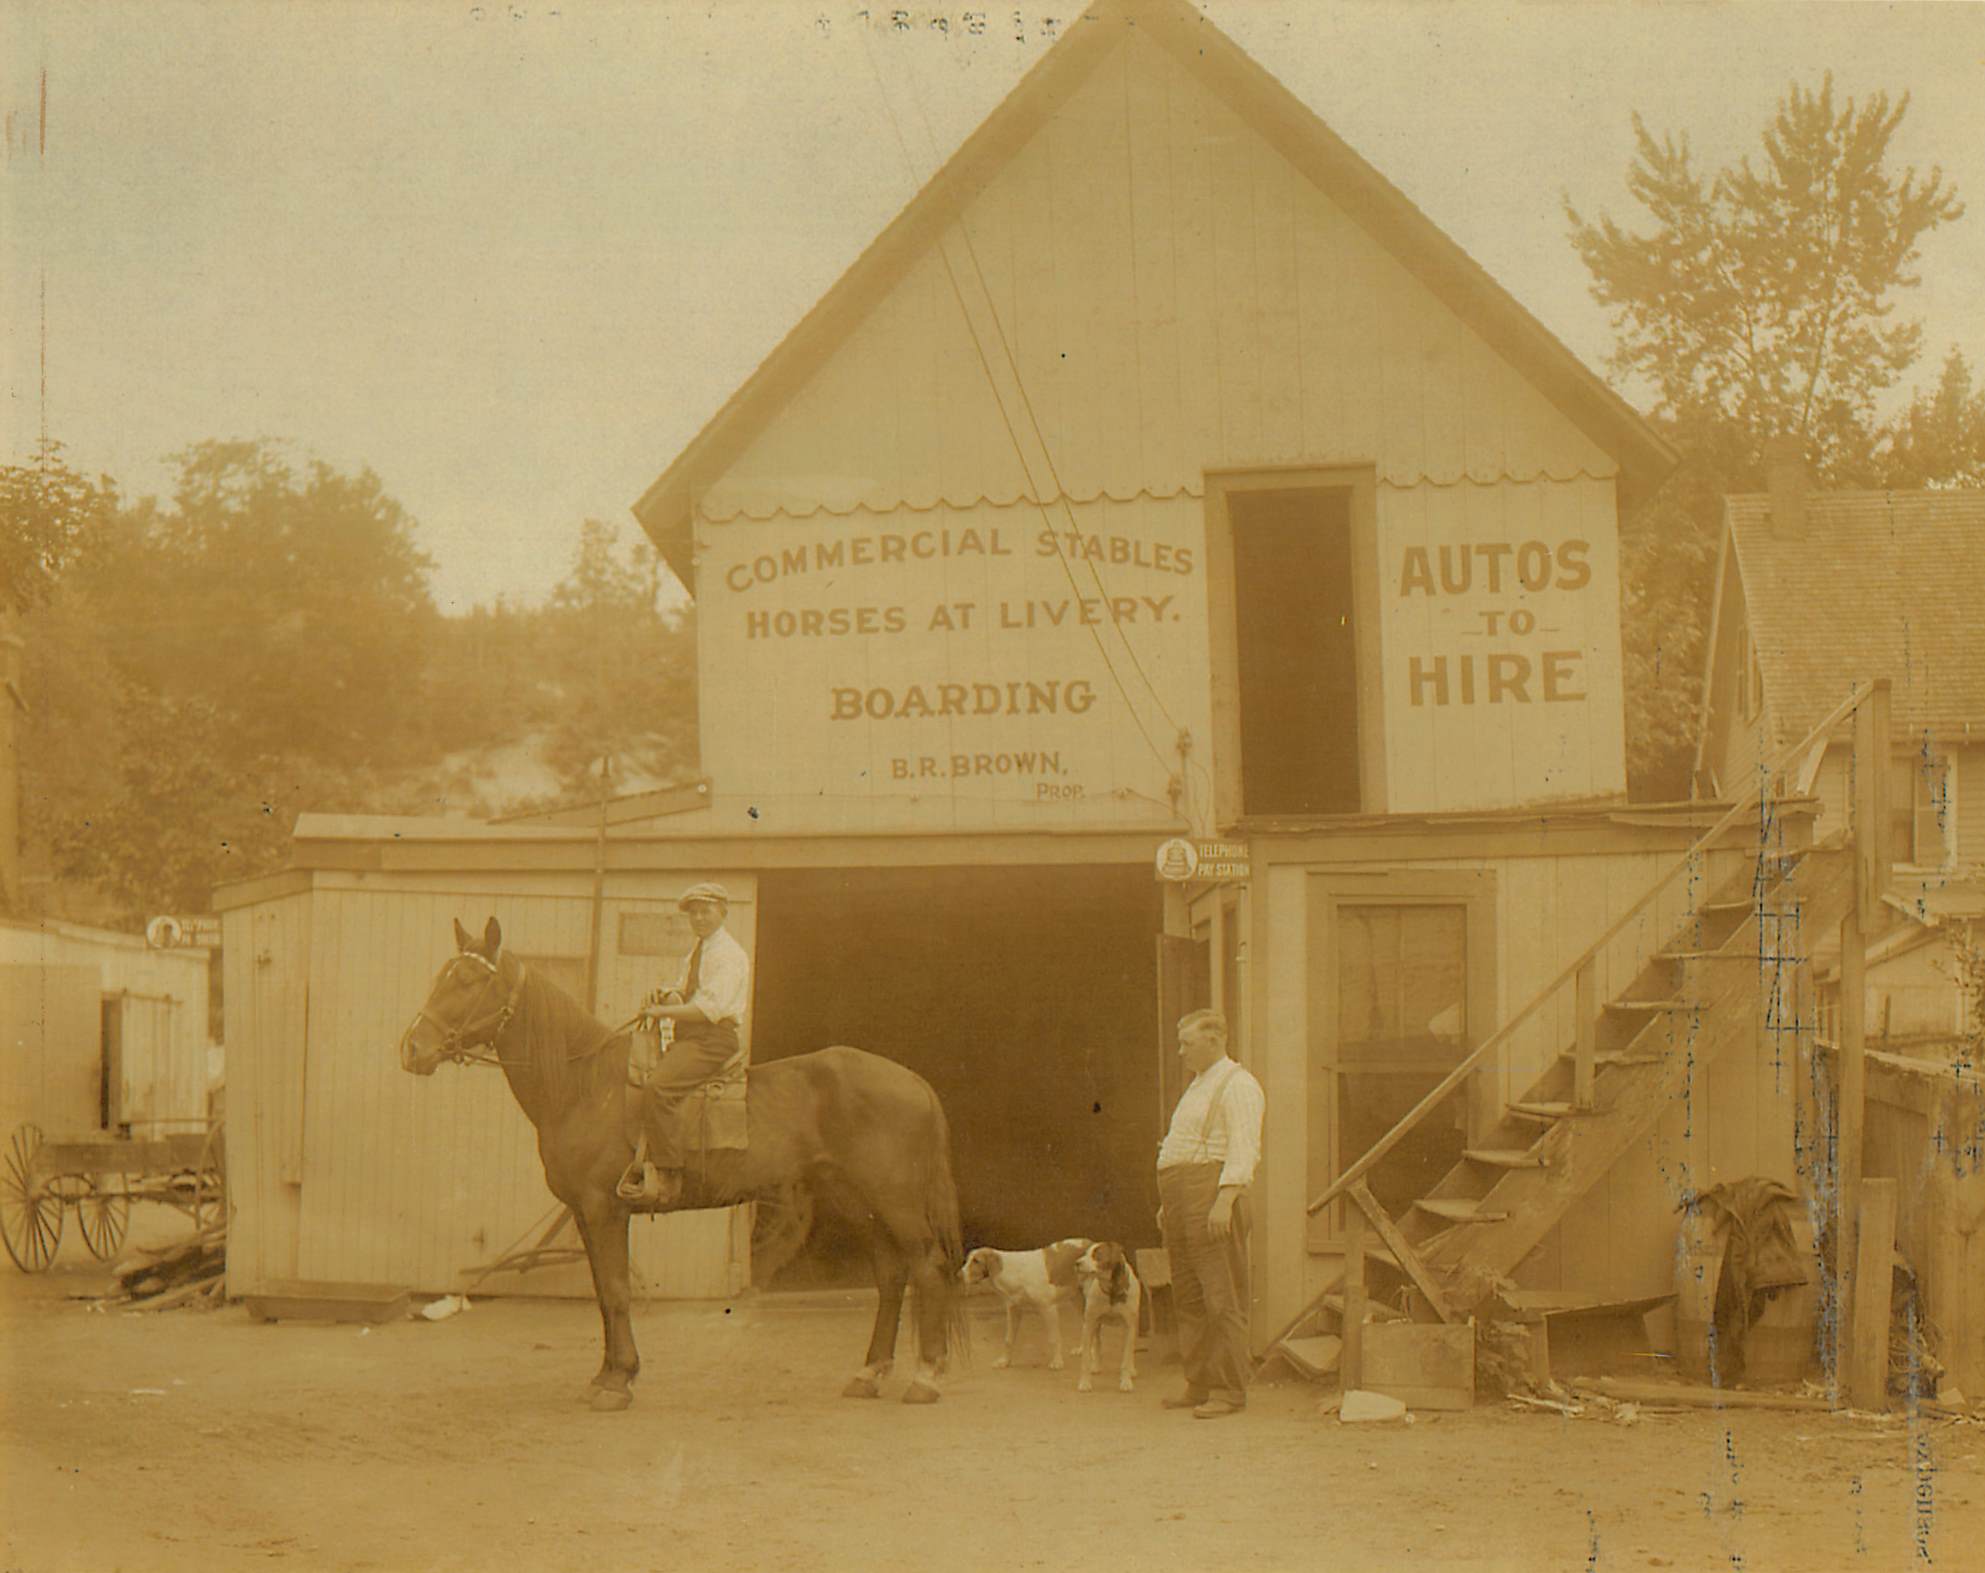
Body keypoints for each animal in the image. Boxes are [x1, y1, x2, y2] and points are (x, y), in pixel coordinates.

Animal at [397, 913, 968, 1406]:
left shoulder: (604, 1208)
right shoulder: (583, 1213)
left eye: (469, 980)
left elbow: (618, 1292)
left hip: (894, 1201)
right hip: (861, 1203)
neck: (586, 1085)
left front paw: (617, 1383)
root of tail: (913, 1081)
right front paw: (609, 1374)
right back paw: (869, 1374)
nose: (412, 1048)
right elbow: (602, 1292)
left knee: (928, 1267)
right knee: (892, 1275)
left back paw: (926, 1377)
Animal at [956, 1231, 1095, 1366]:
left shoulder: (1048, 1309)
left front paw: (1057, 1362)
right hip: (1076, 1299)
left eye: (976, 1261)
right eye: (967, 1260)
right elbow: (1008, 1339)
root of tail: (1091, 1243)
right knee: (1086, 1325)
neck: (1013, 1271)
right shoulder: (1013, 1309)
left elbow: (1054, 1339)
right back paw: (1083, 1349)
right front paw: (1005, 1361)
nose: (958, 1276)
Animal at [1079, 1239, 1143, 1390]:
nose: (1077, 1262)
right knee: (1097, 1343)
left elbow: (1126, 1357)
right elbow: (1086, 1359)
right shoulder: (1089, 1324)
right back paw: (1096, 1365)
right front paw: (1085, 1382)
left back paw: (1132, 1370)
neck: (1112, 1291)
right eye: (1086, 1253)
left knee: (1131, 1349)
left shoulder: (1129, 1326)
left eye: (1097, 1254)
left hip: (1133, 1325)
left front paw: (1126, 1381)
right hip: (1095, 1324)